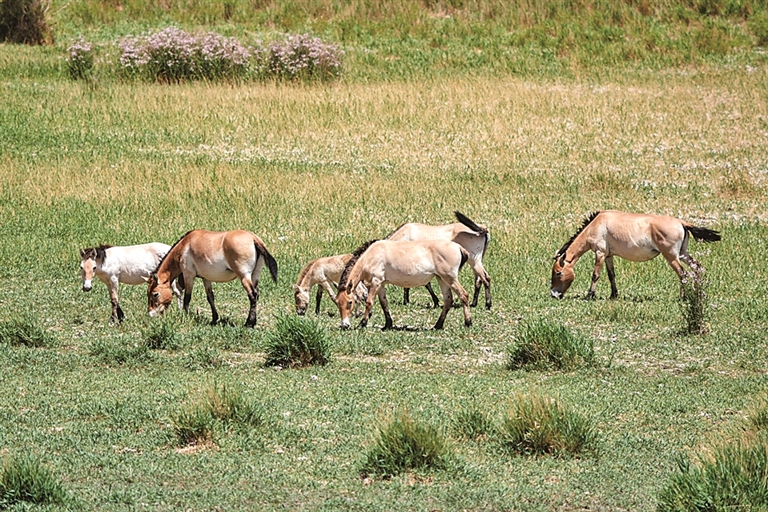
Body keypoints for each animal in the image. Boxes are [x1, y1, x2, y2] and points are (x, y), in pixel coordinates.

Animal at [146, 230, 278, 328]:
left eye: (155, 294)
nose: (151, 314)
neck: (184, 245)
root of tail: (253, 238)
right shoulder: (206, 278)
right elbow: (210, 297)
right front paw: (214, 319)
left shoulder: (188, 275)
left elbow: (187, 298)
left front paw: (185, 316)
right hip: (254, 276)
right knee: (256, 294)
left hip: (244, 276)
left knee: (252, 295)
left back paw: (249, 323)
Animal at [335, 239, 472, 330]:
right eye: (337, 303)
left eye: (350, 302)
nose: (344, 325)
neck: (370, 255)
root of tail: (458, 247)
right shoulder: (381, 285)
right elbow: (384, 303)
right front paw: (388, 325)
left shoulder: (376, 282)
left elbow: (369, 302)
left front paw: (362, 323)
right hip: (442, 279)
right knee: (448, 301)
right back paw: (437, 326)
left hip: (450, 278)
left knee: (464, 295)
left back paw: (468, 323)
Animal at [550, 211, 721, 300]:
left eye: (558, 273)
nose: (553, 294)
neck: (596, 224)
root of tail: (681, 223)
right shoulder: (608, 256)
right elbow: (611, 275)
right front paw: (614, 295)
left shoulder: (600, 253)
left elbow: (595, 275)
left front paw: (589, 295)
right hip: (683, 254)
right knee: (697, 268)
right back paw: (698, 294)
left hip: (672, 257)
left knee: (683, 274)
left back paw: (683, 297)